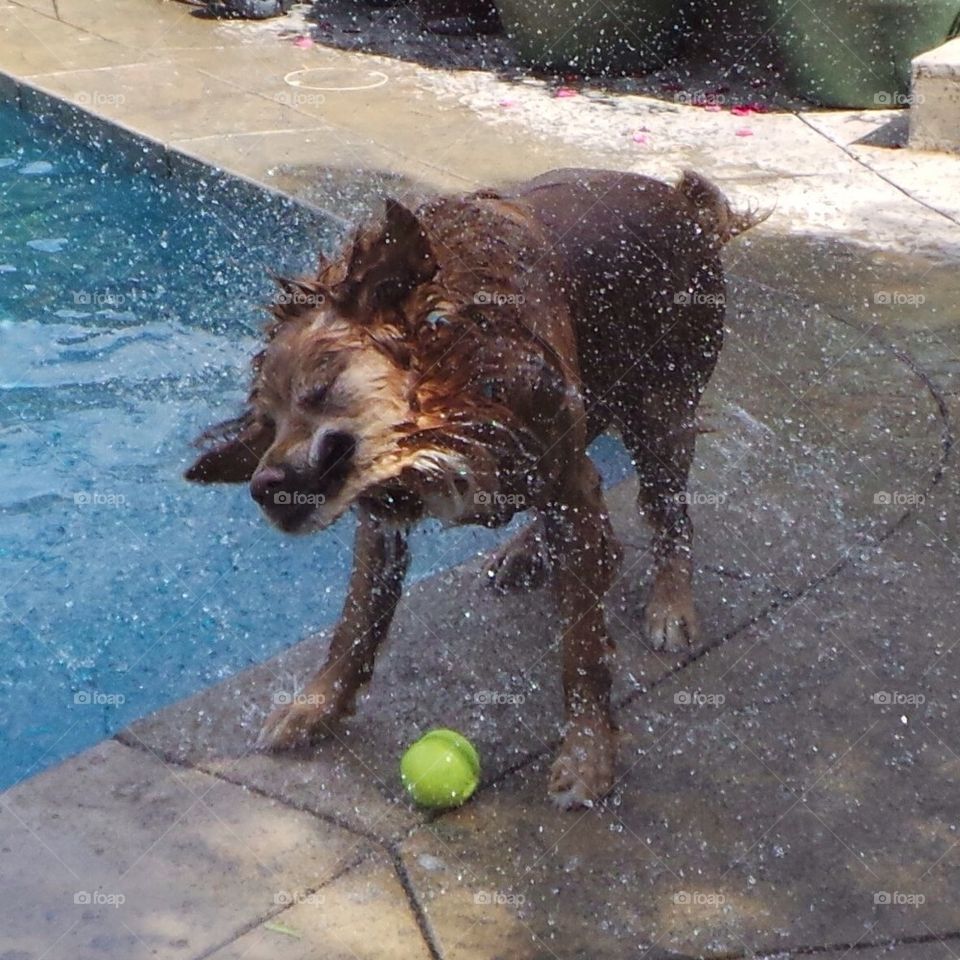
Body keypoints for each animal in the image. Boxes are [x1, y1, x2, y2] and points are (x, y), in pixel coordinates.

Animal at [184, 169, 760, 808]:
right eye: (268, 420)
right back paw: (529, 549)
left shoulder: (559, 471)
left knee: (670, 516)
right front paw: (318, 706)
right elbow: (357, 623)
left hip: (662, 413)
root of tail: (683, 201)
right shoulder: (383, 516)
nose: (262, 486)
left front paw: (587, 755)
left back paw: (670, 603)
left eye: (319, 391)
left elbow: (583, 650)